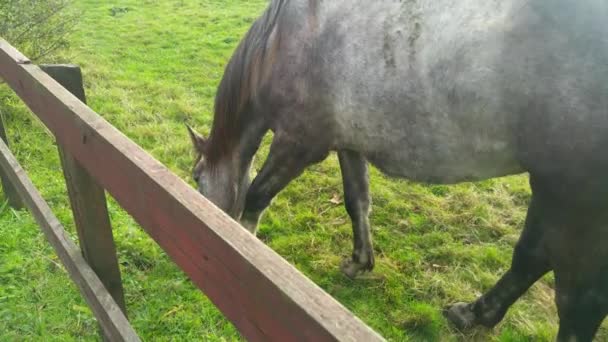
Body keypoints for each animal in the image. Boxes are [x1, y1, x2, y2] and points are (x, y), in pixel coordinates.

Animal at [188, 0, 608, 340]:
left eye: (195, 178)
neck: (282, 41)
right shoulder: (349, 144)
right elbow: (356, 201)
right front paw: (361, 261)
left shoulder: (298, 144)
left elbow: (256, 196)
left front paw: (246, 246)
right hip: (553, 189)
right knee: (531, 258)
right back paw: (474, 314)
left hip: (575, 201)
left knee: (577, 301)